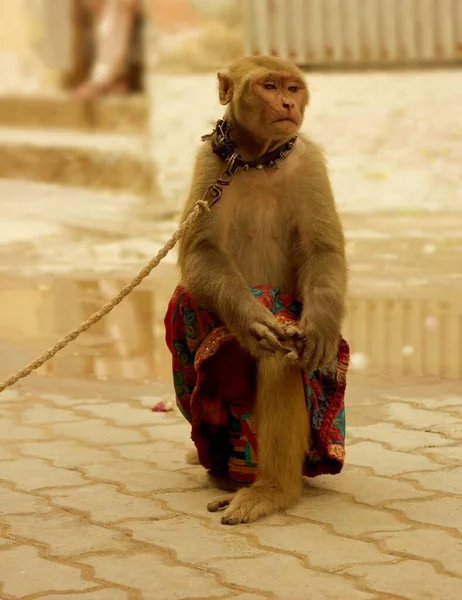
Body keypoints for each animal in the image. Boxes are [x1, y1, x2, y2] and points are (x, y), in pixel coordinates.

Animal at [173, 56, 346, 524]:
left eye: (292, 87)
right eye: (269, 86)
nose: (287, 103)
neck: (257, 160)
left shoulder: (309, 162)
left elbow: (322, 251)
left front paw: (320, 327)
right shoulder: (212, 164)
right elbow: (200, 254)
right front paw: (252, 321)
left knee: (283, 350)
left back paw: (271, 490)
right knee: (193, 309)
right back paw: (233, 476)